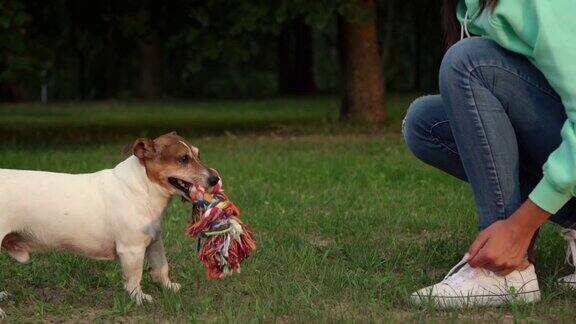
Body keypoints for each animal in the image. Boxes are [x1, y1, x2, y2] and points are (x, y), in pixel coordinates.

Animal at [0, 132, 220, 318]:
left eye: (198, 154)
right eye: (183, 159)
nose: (215, 178)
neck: (143, 186)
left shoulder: (154, 241)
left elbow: (161, 267)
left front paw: (168, 286)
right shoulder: (132, 250)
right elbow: (134, 278)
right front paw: (139, 298)